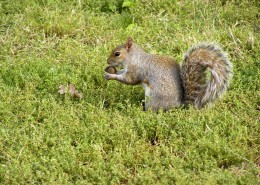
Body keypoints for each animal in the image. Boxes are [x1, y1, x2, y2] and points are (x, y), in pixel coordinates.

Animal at [104, 36, 233, 110]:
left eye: (117, 53)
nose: (107, 61)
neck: (134, 58)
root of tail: (179, 105)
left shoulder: (136, 70)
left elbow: (129, 80)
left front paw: (110, 75)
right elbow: (122, 72)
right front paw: (110, 70)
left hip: (153, 98)